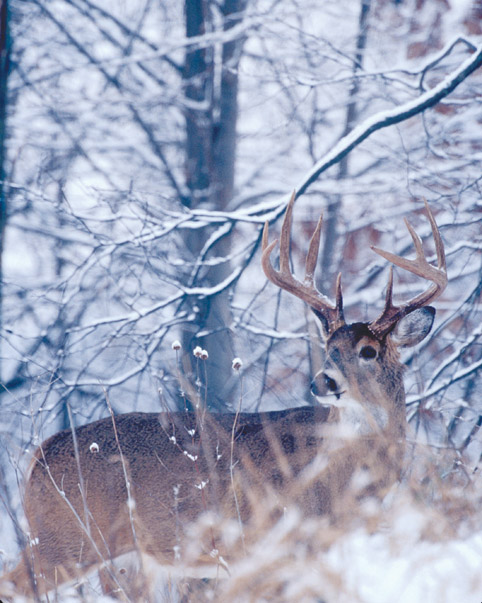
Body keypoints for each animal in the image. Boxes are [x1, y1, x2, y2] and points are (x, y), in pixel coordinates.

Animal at [0, 193, 446, 600]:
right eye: (328, 345)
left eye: (368, 351)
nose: (323, 382)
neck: (341, 481)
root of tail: (38, 455)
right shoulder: (264, 543)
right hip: (65, 541)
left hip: (126, 561)